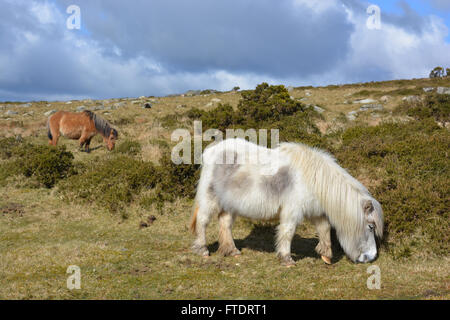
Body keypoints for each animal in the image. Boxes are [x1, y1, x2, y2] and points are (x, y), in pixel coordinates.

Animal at [190, 138, 384, 264]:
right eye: (370, 226)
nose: (371, 257)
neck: (314, 179)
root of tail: (211, 150)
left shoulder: (316, 212)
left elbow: (324, 230)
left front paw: (326, 255)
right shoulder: (292, 211)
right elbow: (288, 232)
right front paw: (286, 258)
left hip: (229, 204)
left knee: (225, 224)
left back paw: (232, 251)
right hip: (210, 199)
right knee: (202, 221)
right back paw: (202, 250)